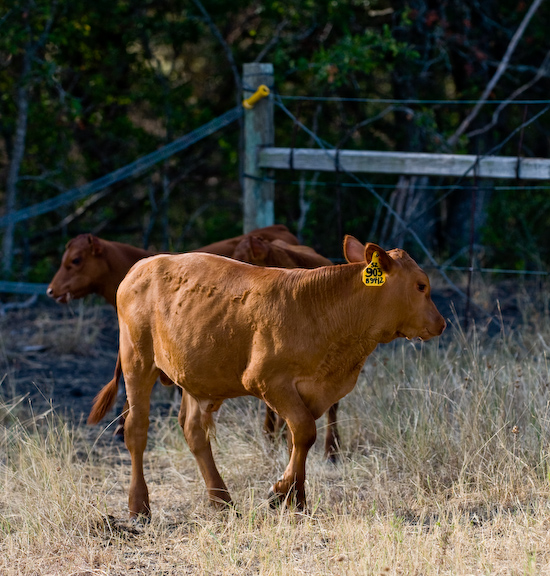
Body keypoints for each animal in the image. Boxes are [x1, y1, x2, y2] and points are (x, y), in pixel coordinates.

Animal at [88, 234, 446, 516]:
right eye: (421, 286)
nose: (441, 323)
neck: (323, 311)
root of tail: (143, 265)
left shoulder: (308, 391)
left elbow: (296, 439)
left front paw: (297, 500)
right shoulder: (267, 381)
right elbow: (304, 432)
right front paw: (281, 493)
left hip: (194, 373)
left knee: (194, 431)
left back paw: (221, 501)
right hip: (137, 360)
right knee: (136, 429)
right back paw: (139, 507)